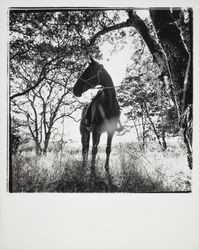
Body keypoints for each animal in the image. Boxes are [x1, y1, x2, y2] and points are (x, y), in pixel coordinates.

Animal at [73, 55, 123, 187]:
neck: (109, 103)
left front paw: (107, 171)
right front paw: (92, 174)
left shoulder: (110, 131)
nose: (74, 90)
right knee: (84, 149)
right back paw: (84, 167)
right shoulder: (95, 130)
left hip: (98, 134)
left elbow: (108, 150)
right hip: (84, 133)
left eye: (87, 72)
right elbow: (94, 150)